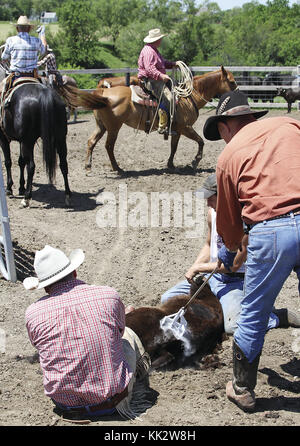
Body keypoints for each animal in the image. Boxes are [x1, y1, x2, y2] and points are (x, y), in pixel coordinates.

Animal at [65, 66, 237, 172]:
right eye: (232, 81)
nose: (239, 94)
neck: (188, 97)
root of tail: (102, 92)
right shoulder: (185, 127)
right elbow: (201, 141)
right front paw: (195, 161)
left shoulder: (177, 130)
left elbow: (174, 147)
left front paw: (170, 164)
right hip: (114, 127)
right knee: (109, 146)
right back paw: (117, 168)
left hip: (101, 126)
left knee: (91, 141)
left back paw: (88, 165)